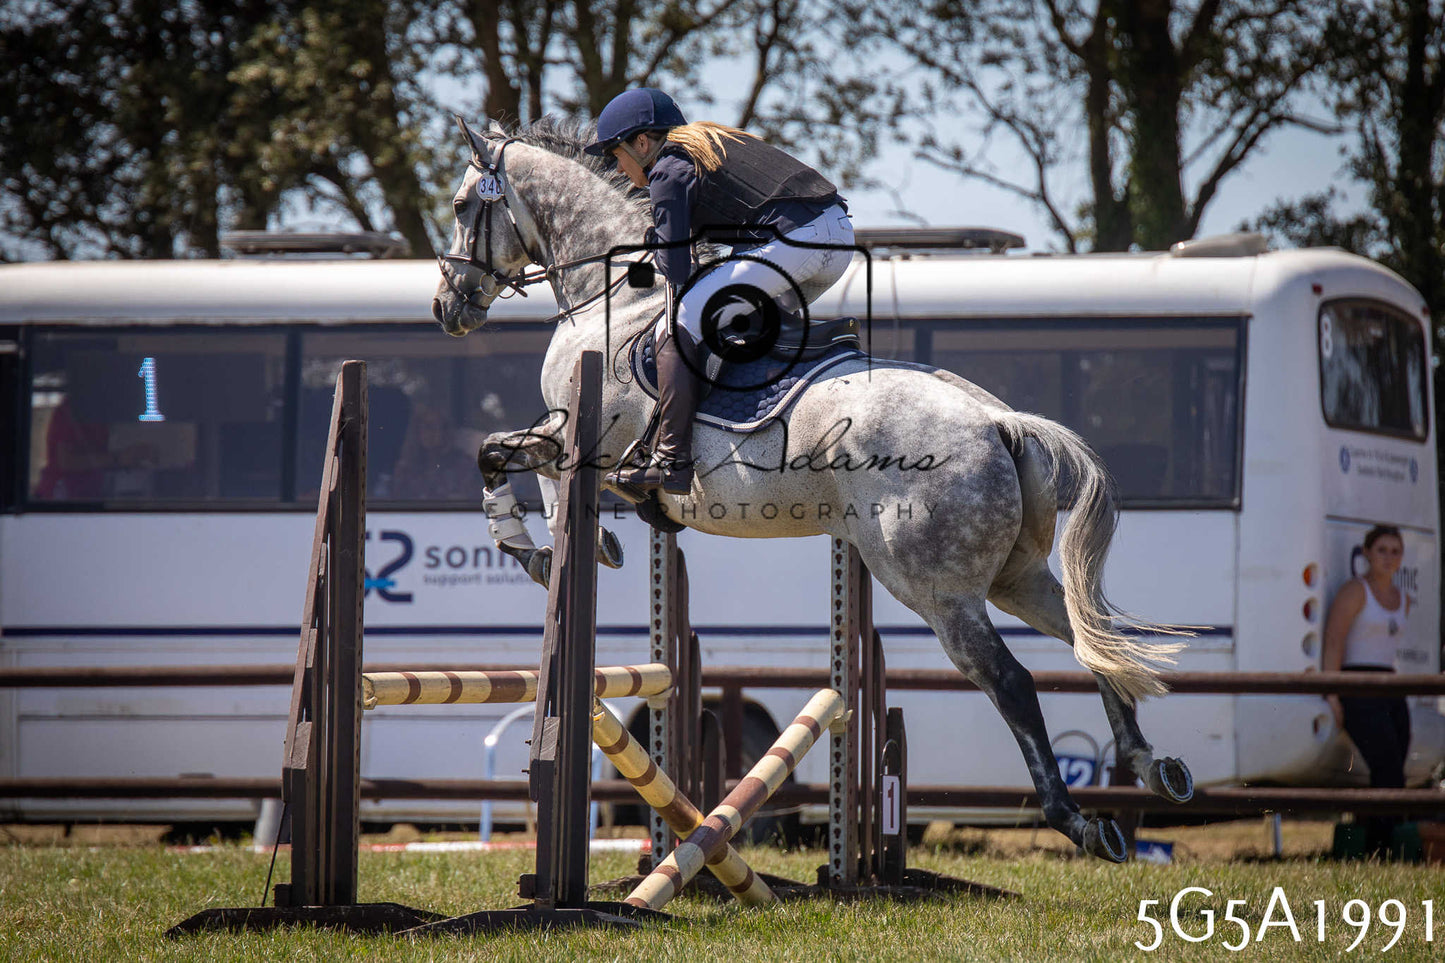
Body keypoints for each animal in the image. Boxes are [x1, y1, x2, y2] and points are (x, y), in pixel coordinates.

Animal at [431, 116, 1194, 861]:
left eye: (464, 206)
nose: (446, 308)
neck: (614, 297)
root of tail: (999, 421)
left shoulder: (579, 442)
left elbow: (499, 458)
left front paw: (541, 550)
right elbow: (516, 467)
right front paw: (578, 547)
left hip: (934, 587)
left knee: (1009, 679)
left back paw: (1078, 821)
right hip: (1015, 574)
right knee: (1087, 639)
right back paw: (1150, 764)